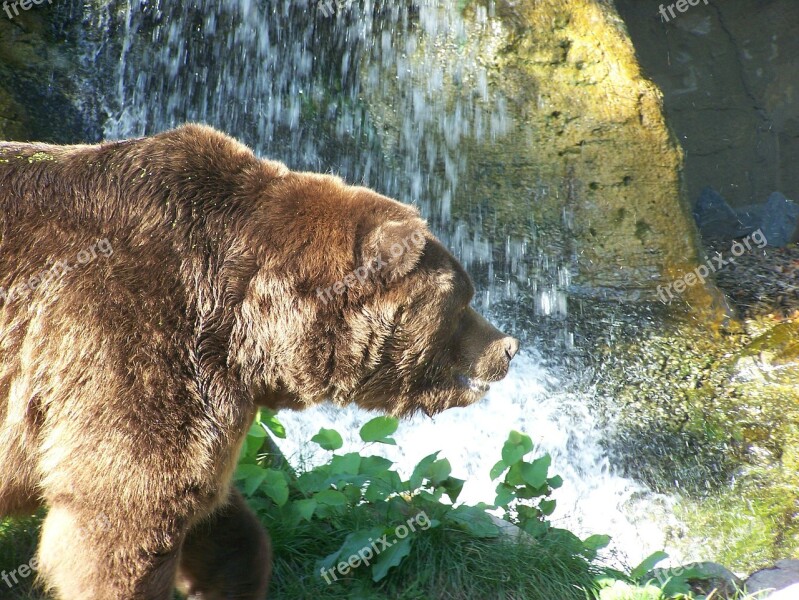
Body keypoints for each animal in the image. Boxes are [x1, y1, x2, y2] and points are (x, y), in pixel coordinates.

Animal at [0, 124, 520, 596]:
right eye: (463, 300)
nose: (508, 347)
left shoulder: (206, 390)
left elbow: (214, 512)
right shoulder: (126, 336)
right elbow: (123, 507)